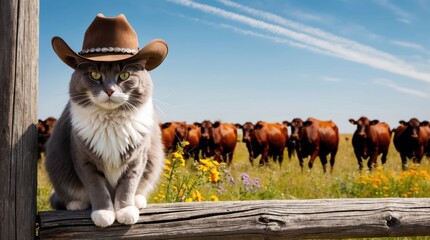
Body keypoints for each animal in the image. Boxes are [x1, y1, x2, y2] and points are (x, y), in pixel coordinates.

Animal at [44, 59, 164, 227]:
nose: (109, 90)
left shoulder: (137, 159)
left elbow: (127, 187)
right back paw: (76, 204)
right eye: (95, 75)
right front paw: (104, 213)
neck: (110, 120)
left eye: (124, 75)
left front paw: (126, 211)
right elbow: (97, 188)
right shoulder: (83, 160)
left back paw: (138, 200)